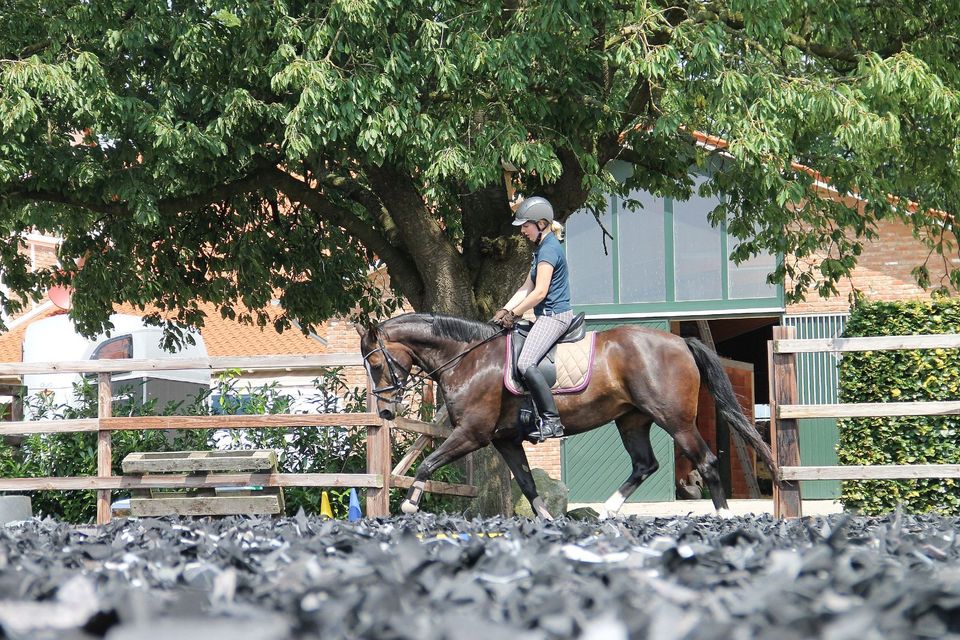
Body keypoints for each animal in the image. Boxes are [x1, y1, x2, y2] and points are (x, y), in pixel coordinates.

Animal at [360, 316, 780, 520]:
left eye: (376, 363)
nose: (386, 412)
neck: (470, 358)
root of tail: (680, 341)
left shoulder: (472, 433)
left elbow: (427, 462)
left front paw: (409, 506)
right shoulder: (504, 439)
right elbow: (527, 484)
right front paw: (548, 520)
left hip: (674, 420)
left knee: (705, 460)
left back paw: (723, 516)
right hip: (632, 420)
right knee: (645, 464)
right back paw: (608, 511)